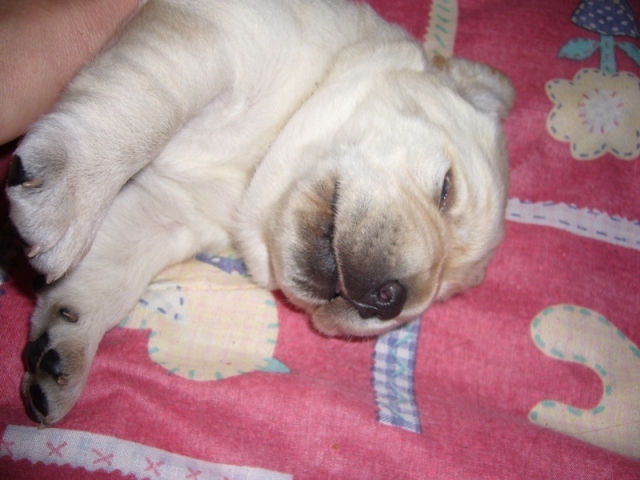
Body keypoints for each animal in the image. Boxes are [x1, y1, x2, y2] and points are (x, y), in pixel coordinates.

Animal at [6, 0, 514, 425]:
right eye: (446, 189)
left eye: (436, 298)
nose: (390, 300)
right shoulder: (218, 34)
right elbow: (145, 106)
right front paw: (67, 195)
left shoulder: (170, 212)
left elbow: (109, 269)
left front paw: (63, 347)